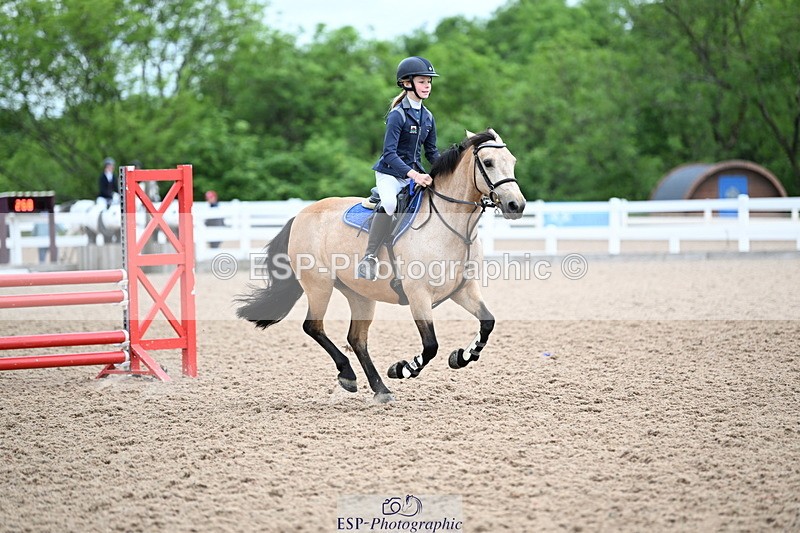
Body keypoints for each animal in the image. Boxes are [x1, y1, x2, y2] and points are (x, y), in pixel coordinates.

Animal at [236, 128, 526, 402]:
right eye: (488, 162)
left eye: (512, 161)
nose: (516, 205)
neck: (451, 227)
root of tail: (300, 215)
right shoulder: (418, 295)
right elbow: (430, 345)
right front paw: (403, 368)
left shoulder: (463, 289)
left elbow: (487, 322)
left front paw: (462, 356)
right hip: (319, 285)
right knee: (313, 327)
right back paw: (349, 375)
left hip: (360, 295)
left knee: (356, 339)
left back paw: (380, 389)